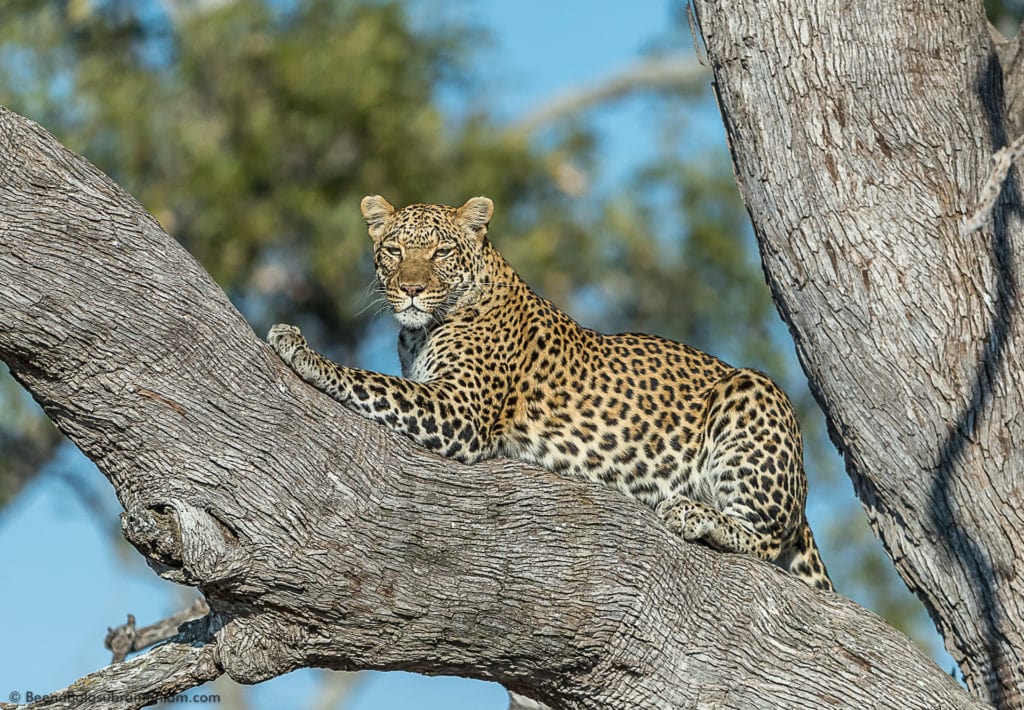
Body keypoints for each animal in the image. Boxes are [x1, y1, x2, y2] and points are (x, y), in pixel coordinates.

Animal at [270, 192, 831, 586]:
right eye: (394, 249)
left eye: (442, 250)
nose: (409, 288)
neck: (422, 327)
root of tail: (802, 490)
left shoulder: (459, 409)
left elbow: (372, 383)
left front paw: (302, 350)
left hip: (753, 392)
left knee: (768, 540)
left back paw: (692, 512)